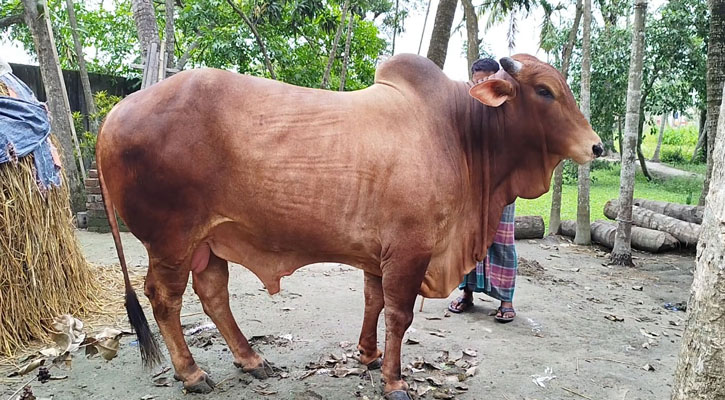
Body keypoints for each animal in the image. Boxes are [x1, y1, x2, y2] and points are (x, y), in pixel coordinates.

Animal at [99, 54, 604, 400]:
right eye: (545, 90)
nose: (597, 146)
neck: (460, 134)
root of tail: (113, 116)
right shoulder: (409, 250)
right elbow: (399, 315)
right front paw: (395, 381)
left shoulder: (379, 255)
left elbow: (373, 301)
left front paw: (368, 355)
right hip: (171, 240)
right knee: (164, 300)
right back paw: (192, 373)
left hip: (209, 241)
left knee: (213, 295)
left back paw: (251, 359)